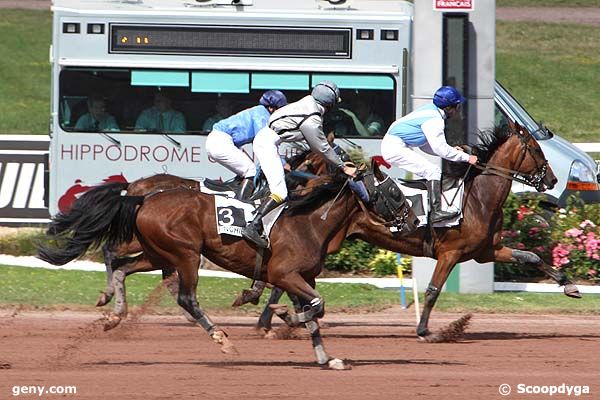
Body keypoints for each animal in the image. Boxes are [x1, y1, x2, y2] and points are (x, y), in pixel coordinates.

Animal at [39, 165, 420, 368]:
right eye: (394, 191)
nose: (415, 220)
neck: (311, 221)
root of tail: (141, 196)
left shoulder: (303, 277)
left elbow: (314, 314)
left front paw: (326, 358)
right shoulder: (285, 274)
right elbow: (316, 306)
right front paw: (283, 316)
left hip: (157, 252)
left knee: (120, 266)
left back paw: (115, 314)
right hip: (185, 255)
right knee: (185, 298)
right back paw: (221, 339)